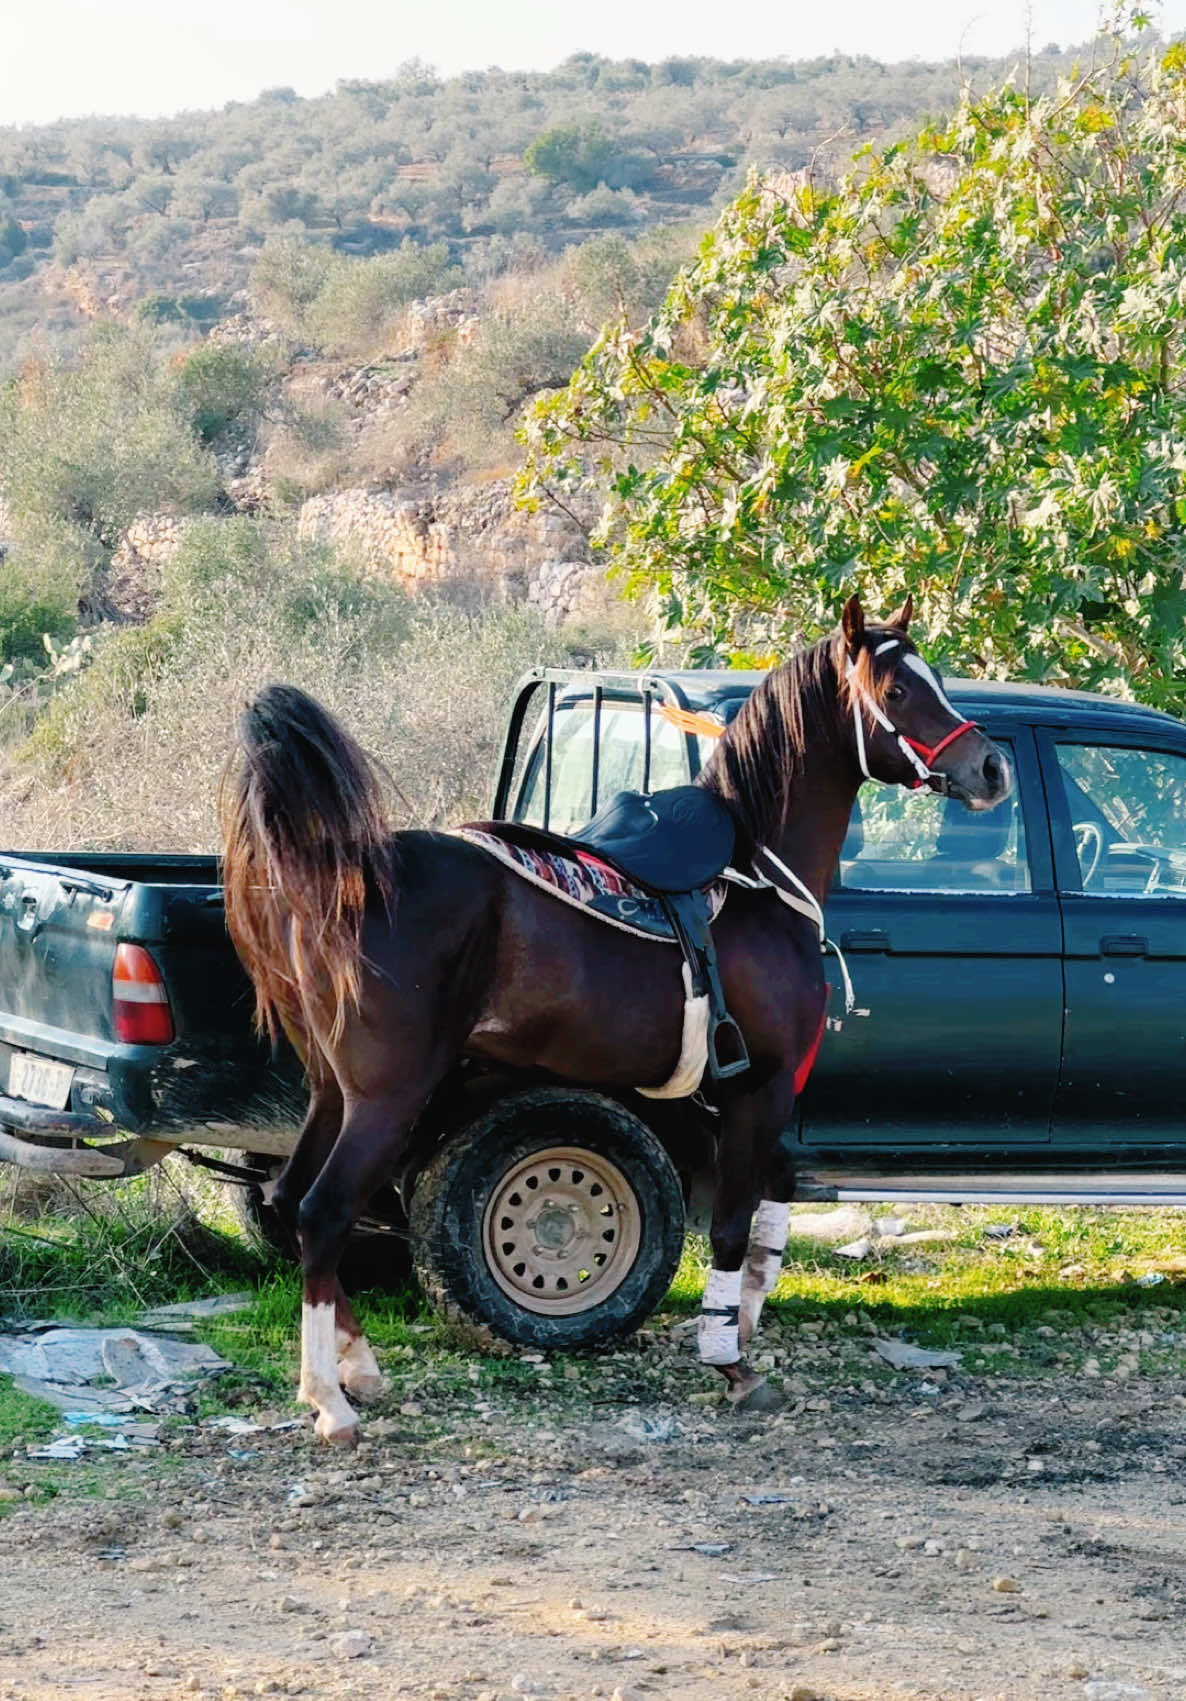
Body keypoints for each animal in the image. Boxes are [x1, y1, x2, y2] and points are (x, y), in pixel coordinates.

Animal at [221, 598, 1007, 1435]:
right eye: (897, 689)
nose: (991, 768)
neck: (758, 874)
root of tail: (342, 870)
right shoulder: (757, 1086)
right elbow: (732, 1223)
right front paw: (729, 1360)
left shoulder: (740, 1097)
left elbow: (772, 1214)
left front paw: (740, 1328)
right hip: (388, 1096)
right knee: (323, 1211)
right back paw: (328, 1397)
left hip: (333, 1092)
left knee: (290, 1200)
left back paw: (359, 1367)